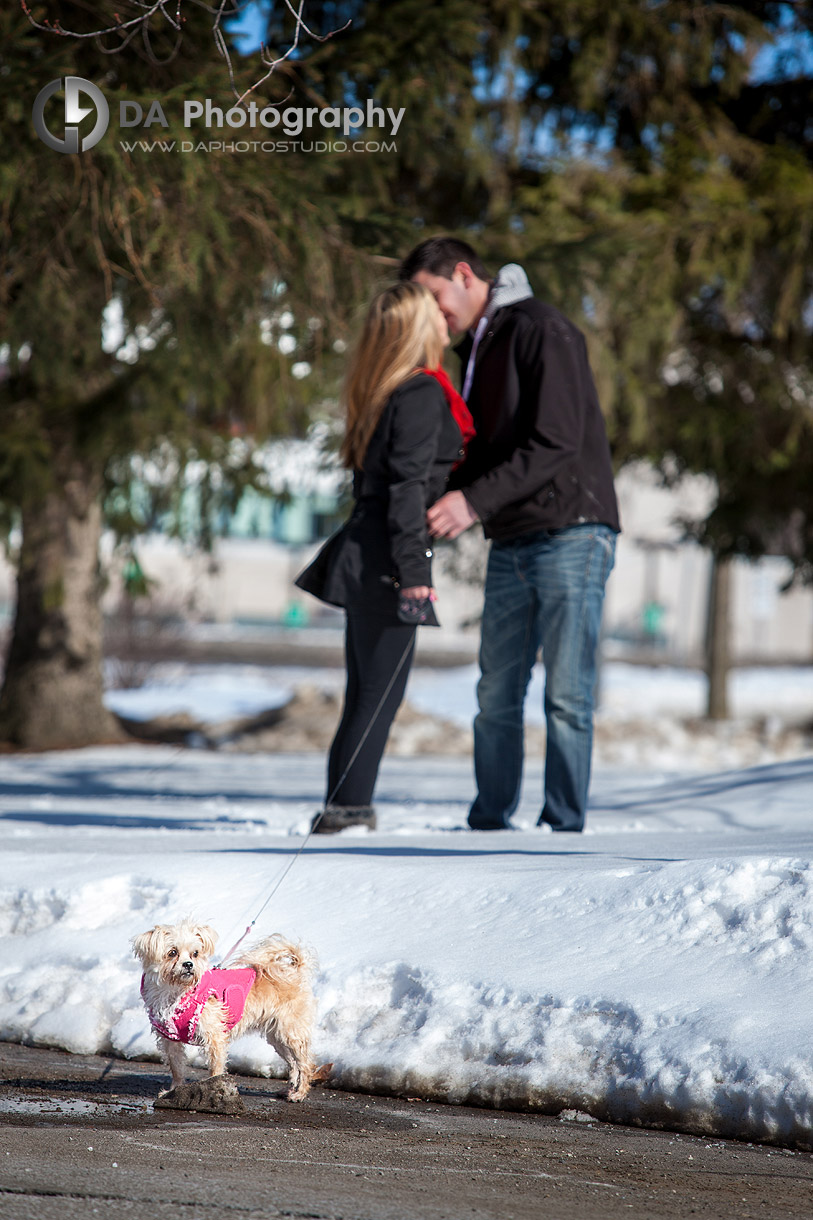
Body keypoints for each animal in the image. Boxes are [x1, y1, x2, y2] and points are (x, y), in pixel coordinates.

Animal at [131, 917, 324, 1102]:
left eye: (195, 953)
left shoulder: (215, 1038)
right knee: (293, 1064)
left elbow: (215, 1070)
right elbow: (176, 1068)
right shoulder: (170, 1040)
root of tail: (295, 971)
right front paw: (173, 1091)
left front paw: (214, 1090)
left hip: (291, 1033)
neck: (176, 992)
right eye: (172, 953)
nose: (188, 964)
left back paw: (299, 1094)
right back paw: (290, 1090)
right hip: (277, 1037)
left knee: (305, 1064)